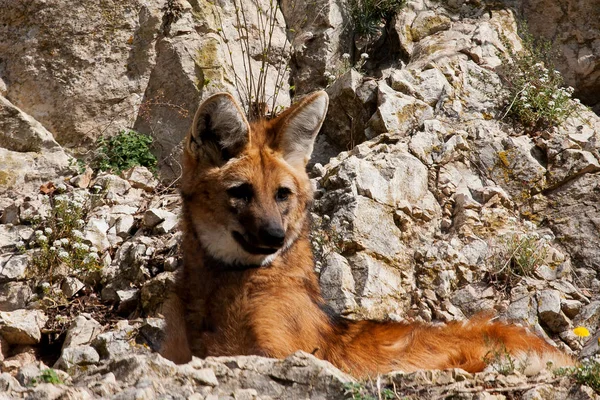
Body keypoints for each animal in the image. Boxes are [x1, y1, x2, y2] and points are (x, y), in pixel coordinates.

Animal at [161, 91, 572, 378]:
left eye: (282, 194)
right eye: (241, 192)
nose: (276, 236)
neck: (220, 285)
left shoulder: (279, 354)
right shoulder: (184, 353)